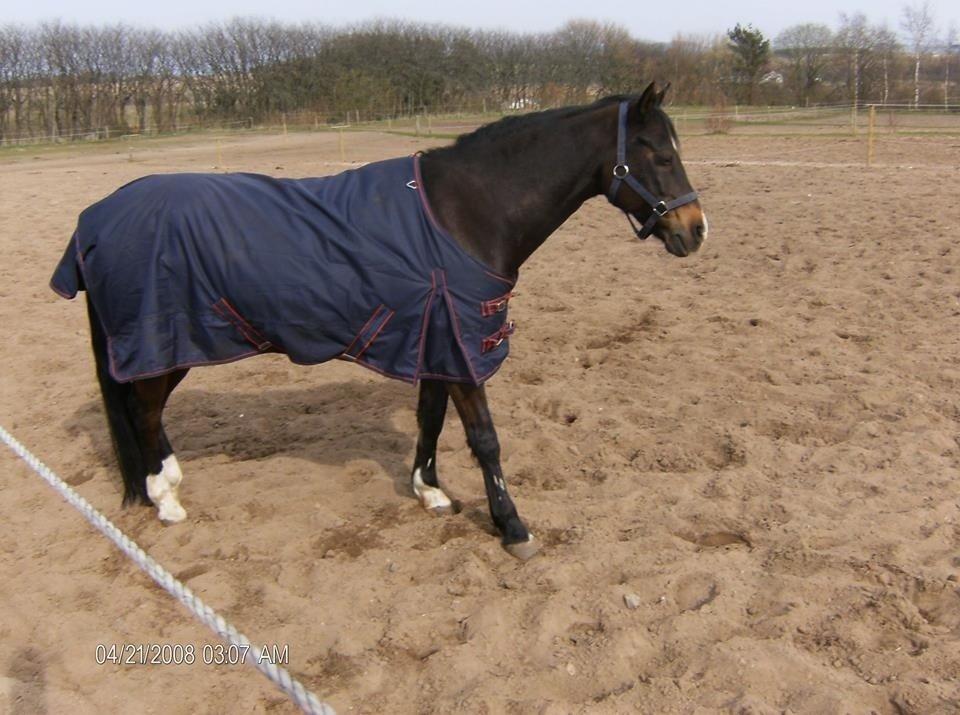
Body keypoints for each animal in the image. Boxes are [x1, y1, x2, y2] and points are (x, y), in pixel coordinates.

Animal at [52, 82, 708, 560]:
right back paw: (165, 499)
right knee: (144, 411)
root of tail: (93, 218)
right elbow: (485, 439)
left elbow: (430, 418)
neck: (465, 213)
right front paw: (513, 528)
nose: (696, 230)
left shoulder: (437, 338)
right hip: (162, 343)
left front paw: (430, 490)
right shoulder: (462, 347)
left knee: (147, 412)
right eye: (659, 153)